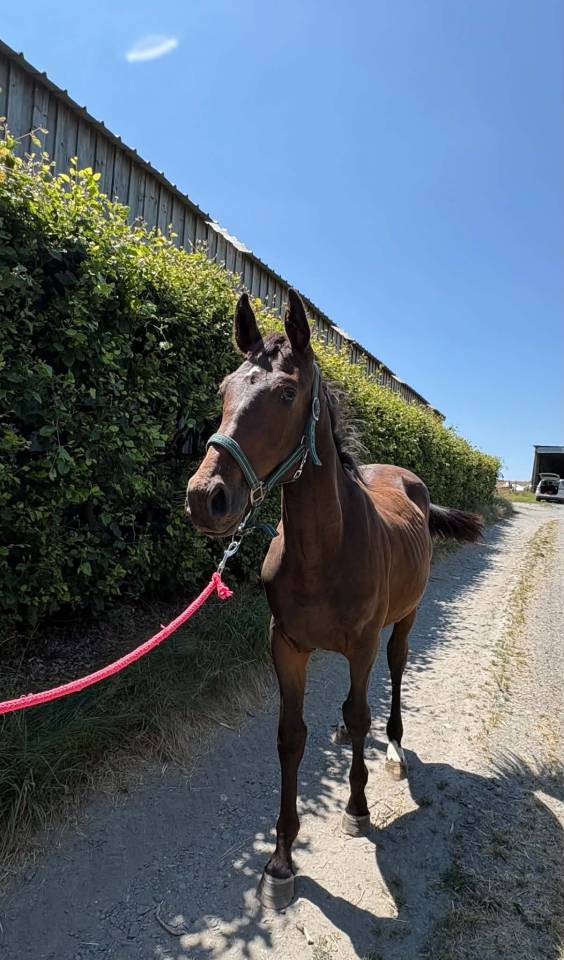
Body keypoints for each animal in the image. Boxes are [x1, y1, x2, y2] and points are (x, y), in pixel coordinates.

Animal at [186, 289, 483, 909]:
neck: (324, 549)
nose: (207, 498)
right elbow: (291, 736)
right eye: (225, 389)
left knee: (391, 678)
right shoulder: (286, 645)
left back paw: (392, 750)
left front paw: (357, 807)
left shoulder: (363, 642)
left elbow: (360, 708)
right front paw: (280, 860)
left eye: (286, 393)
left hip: (403, 621)